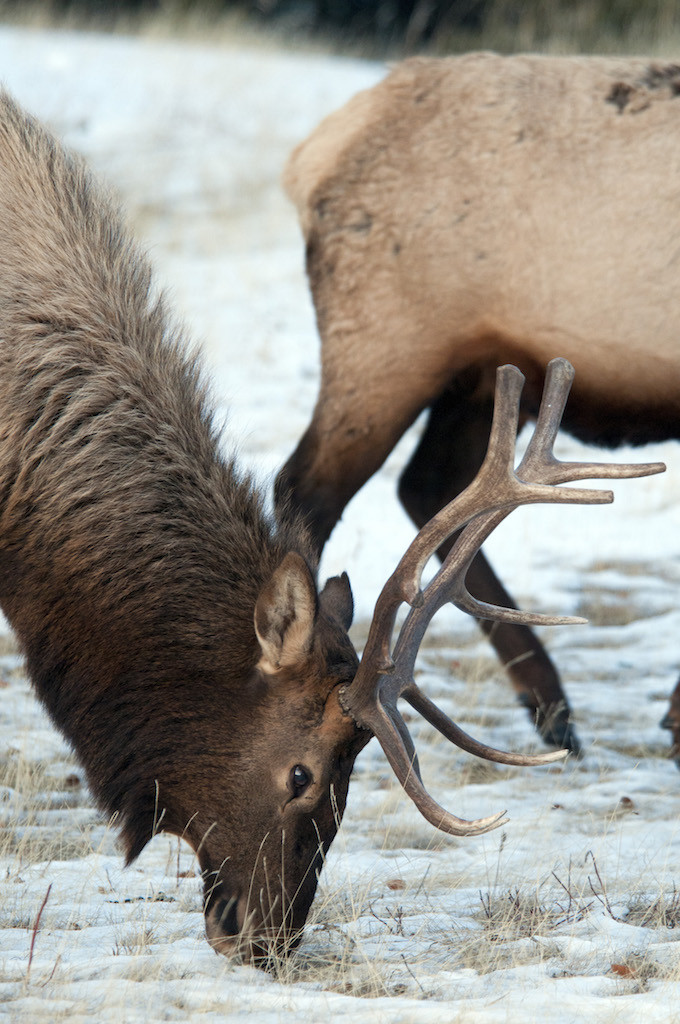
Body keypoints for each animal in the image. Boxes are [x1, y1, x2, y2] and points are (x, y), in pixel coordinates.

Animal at [276, 51, 680, 765]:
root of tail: (314, 156)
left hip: (478, 375)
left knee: (430, 482)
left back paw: (551, 709)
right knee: (309, 488)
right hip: (387, 343)